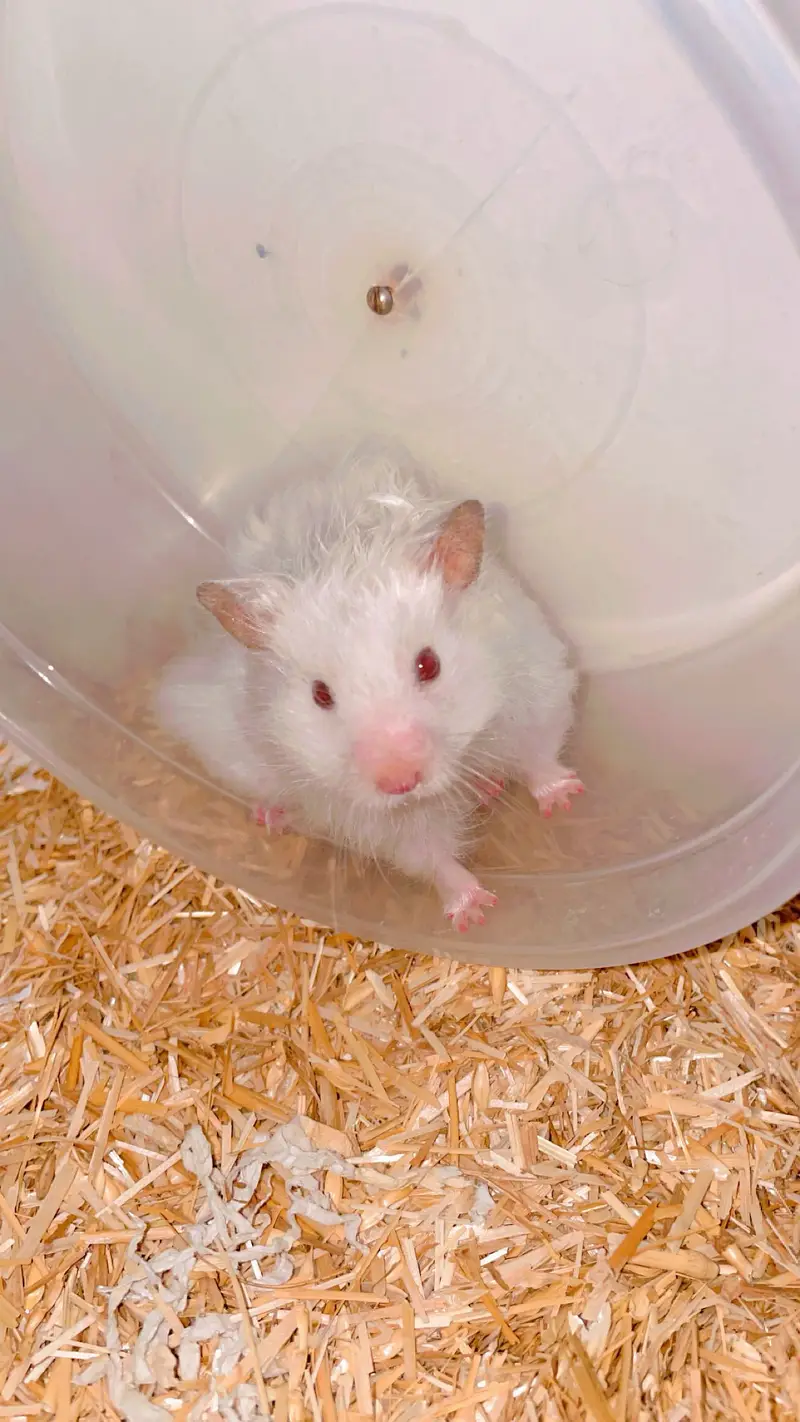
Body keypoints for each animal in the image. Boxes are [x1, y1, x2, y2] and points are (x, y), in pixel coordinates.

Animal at [157, 448, 582, 932]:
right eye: (321, 695)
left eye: (429, 664)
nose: (399, 783)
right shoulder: (382, 819)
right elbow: (431, 856)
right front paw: (475, 912)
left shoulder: (533, 687)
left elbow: (539, 754)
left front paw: (565, 799)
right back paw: (270, 815)